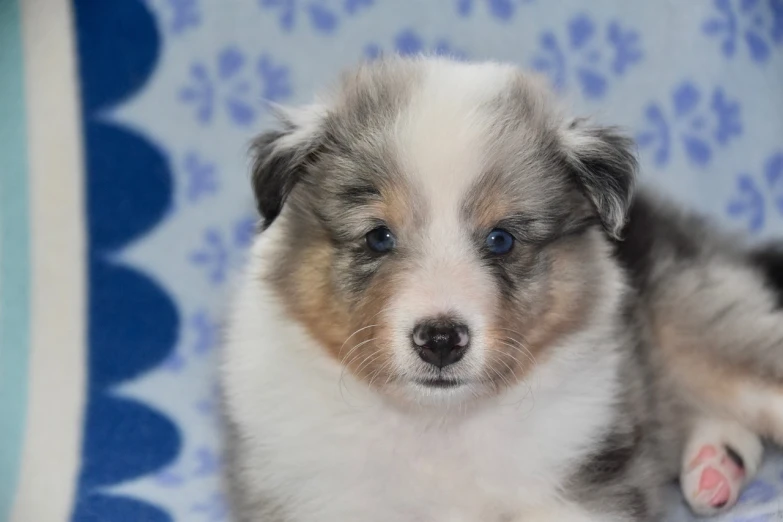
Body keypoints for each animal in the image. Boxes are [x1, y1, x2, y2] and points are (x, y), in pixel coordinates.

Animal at [217, 57, 783, 520]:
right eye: (378, 237)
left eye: (501, 239)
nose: (440, 340)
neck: (437, 422)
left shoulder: (586, 478)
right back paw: (714, 472)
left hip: (701, 326)